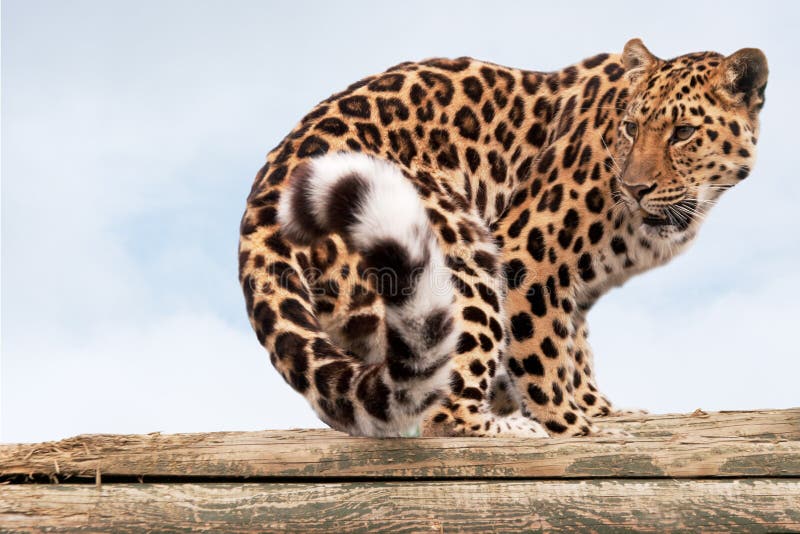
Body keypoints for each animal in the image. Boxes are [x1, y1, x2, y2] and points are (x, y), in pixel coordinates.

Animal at [238, 39, 768, 437]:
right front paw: (578, 429)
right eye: (631, 128)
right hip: (455, 254)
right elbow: (545, 357)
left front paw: (599, 409)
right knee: (439, 411)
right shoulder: (527, 256)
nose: (634, 188)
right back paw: (514, 429)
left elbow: (575, 349)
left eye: (683, 132)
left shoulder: (573, 289)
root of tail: (262, 210)